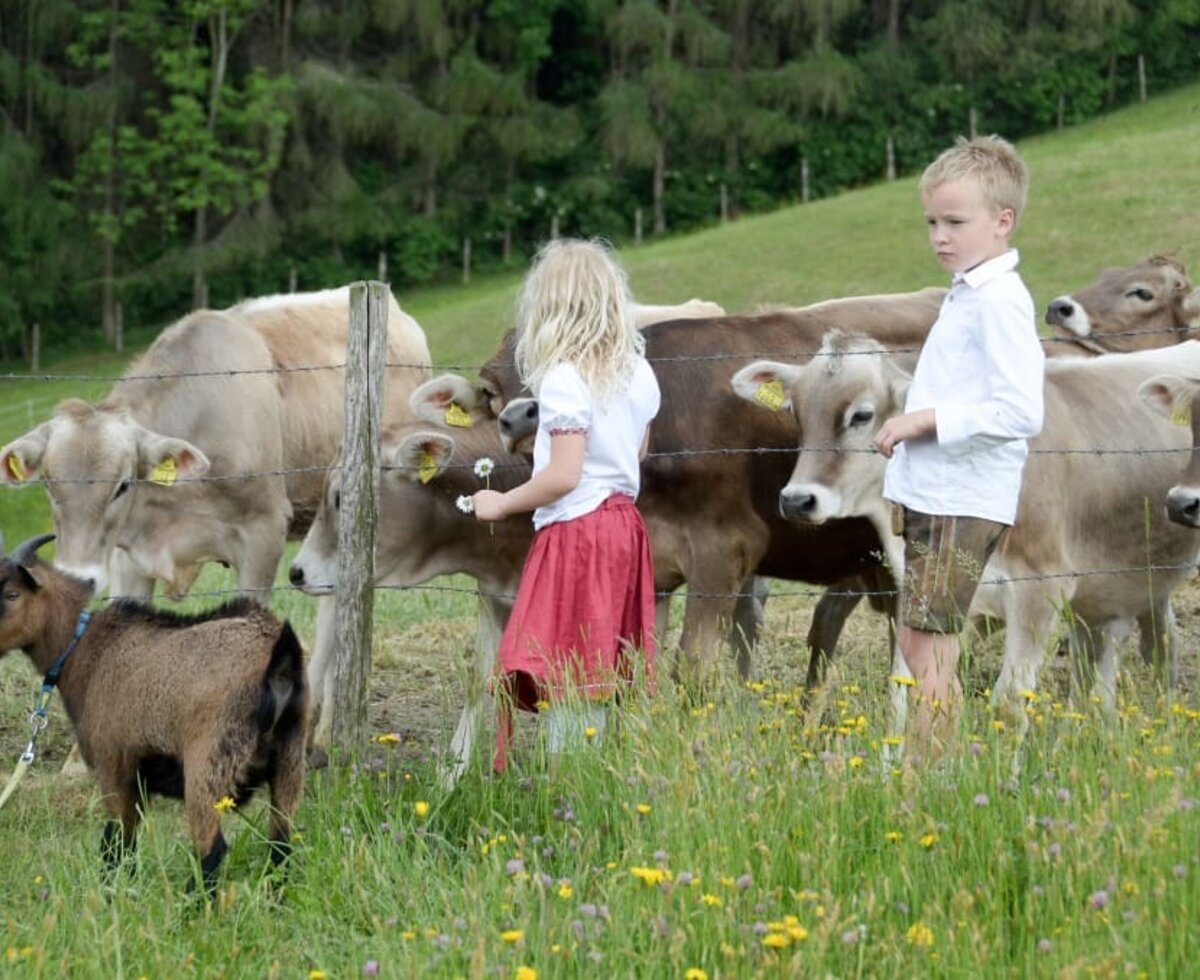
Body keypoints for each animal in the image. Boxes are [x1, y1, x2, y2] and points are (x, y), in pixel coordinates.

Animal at [0, 532, 309, 892]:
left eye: (12, 593)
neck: (85, 650)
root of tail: (279, 658)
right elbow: (126, 846)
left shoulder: (115, 768)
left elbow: (115, 844)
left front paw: (112, 894)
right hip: (289, 762)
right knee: (281, 845)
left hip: (208, 765)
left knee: (212, 849)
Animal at [429, 286, 945, 690]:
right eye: (492, 389)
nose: (522, 416)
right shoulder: (653, 564)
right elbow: (634, 666)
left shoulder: (726, 549)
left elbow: (692, 668)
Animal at [729, 333, 1200, 729]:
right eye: (796, 413)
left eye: (861, 415)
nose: (797, 500)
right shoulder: (927, 597)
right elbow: (907, 693)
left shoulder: (1040, 589)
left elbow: (1008, 702)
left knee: (1157, 653)